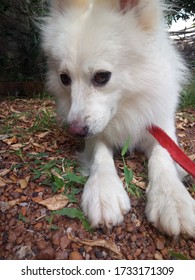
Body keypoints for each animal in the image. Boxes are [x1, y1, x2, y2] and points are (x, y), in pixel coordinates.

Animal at [41, 0, 195, 237]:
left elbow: (163, 156)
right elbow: (100, 156)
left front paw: (172, 199)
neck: (126, 108)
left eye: (102, 77)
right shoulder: (95, 136)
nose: (75, 131)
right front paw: (103, 190)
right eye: (64, 79)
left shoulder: (160, 128)